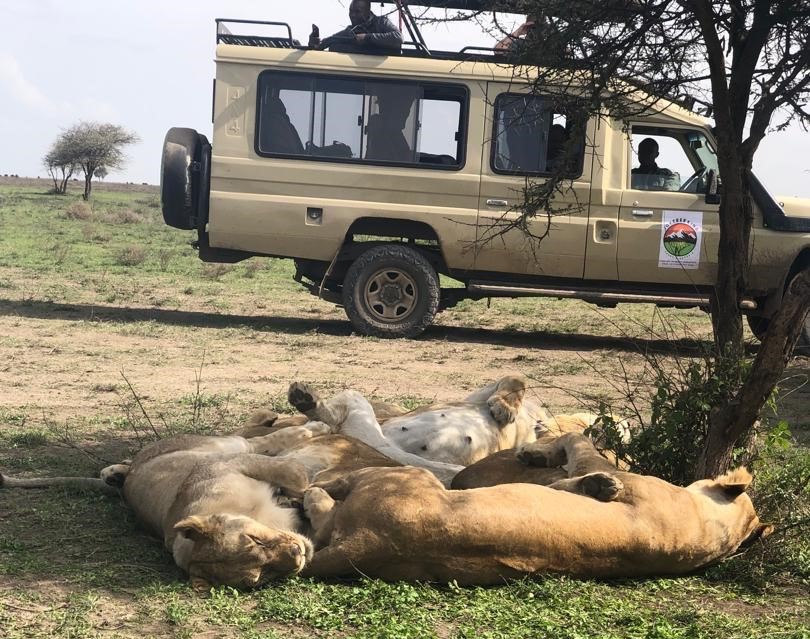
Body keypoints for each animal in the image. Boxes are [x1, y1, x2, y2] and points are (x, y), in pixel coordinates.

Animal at [299, 432, 771, 583]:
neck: (708, 531)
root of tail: (374, 541)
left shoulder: (593, 466)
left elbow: (578, 443)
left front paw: (534, 455)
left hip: (404, 479)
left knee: (326, 497)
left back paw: (315, 489)